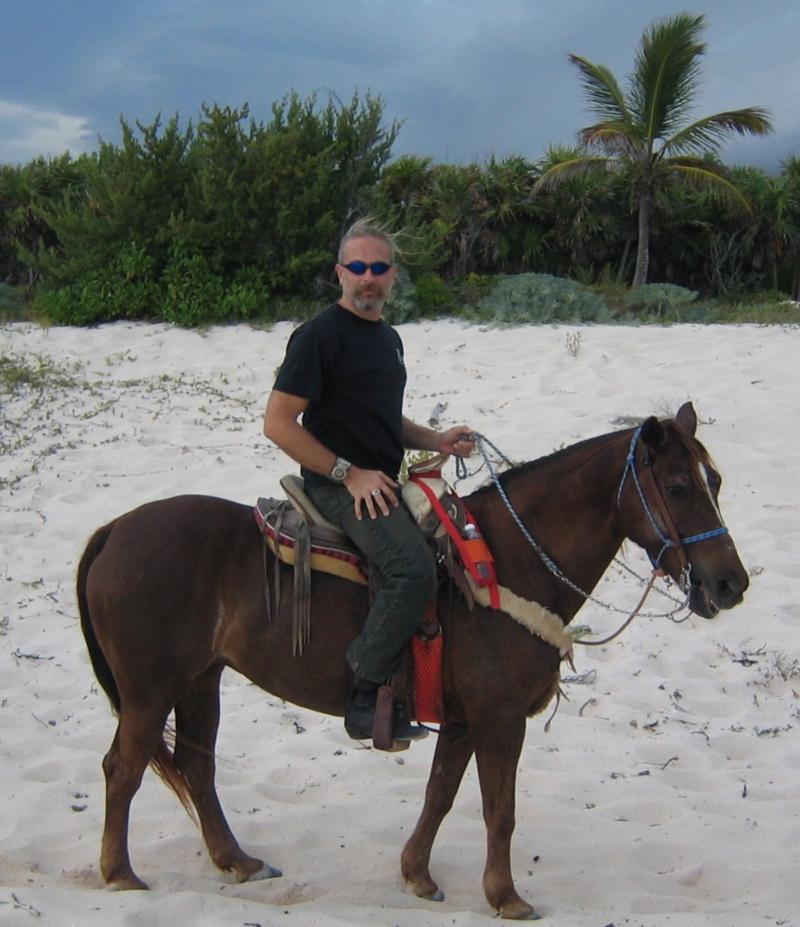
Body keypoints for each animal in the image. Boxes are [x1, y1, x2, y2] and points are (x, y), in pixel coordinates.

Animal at [75, 402, 752, 916]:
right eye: (678, 487)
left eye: (715, 484)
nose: (730, 585)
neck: (509, 559)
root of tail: (114, 529)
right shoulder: (499, 720)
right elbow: (499, 810)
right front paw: (505, 897)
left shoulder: (463, 721)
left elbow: (440, 794)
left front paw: (417, 874)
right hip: (150, 691)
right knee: (122, 768)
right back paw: (119, 872)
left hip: (199, 680)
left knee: (197, 766)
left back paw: (235, 861)